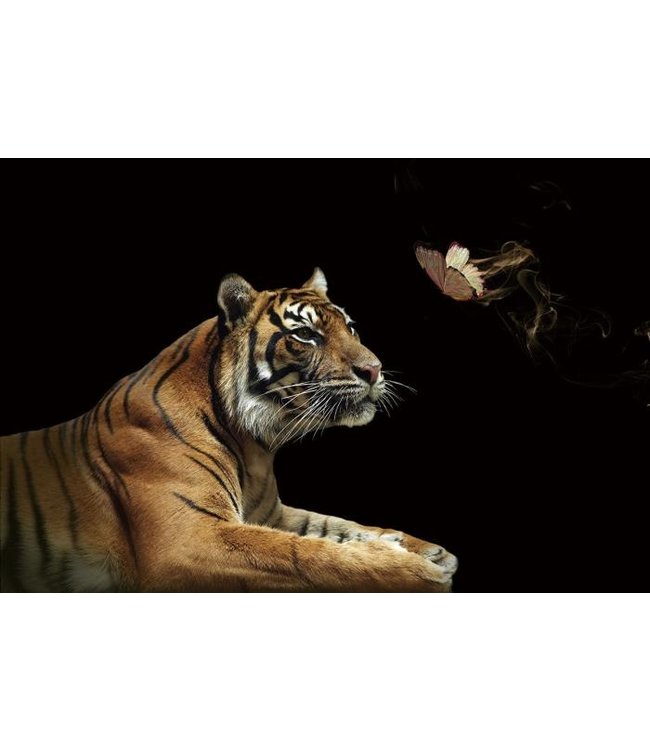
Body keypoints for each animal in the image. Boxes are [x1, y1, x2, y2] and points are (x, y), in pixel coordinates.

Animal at [1, 268, 458, 592]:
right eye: (305, 334)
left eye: (351, 328)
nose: (375, 370)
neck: (254, 445)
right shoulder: (189, 538)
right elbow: (306, 554)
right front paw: (416, 570)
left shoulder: (271, 513)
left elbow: (336, 527)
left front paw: (428, 551)